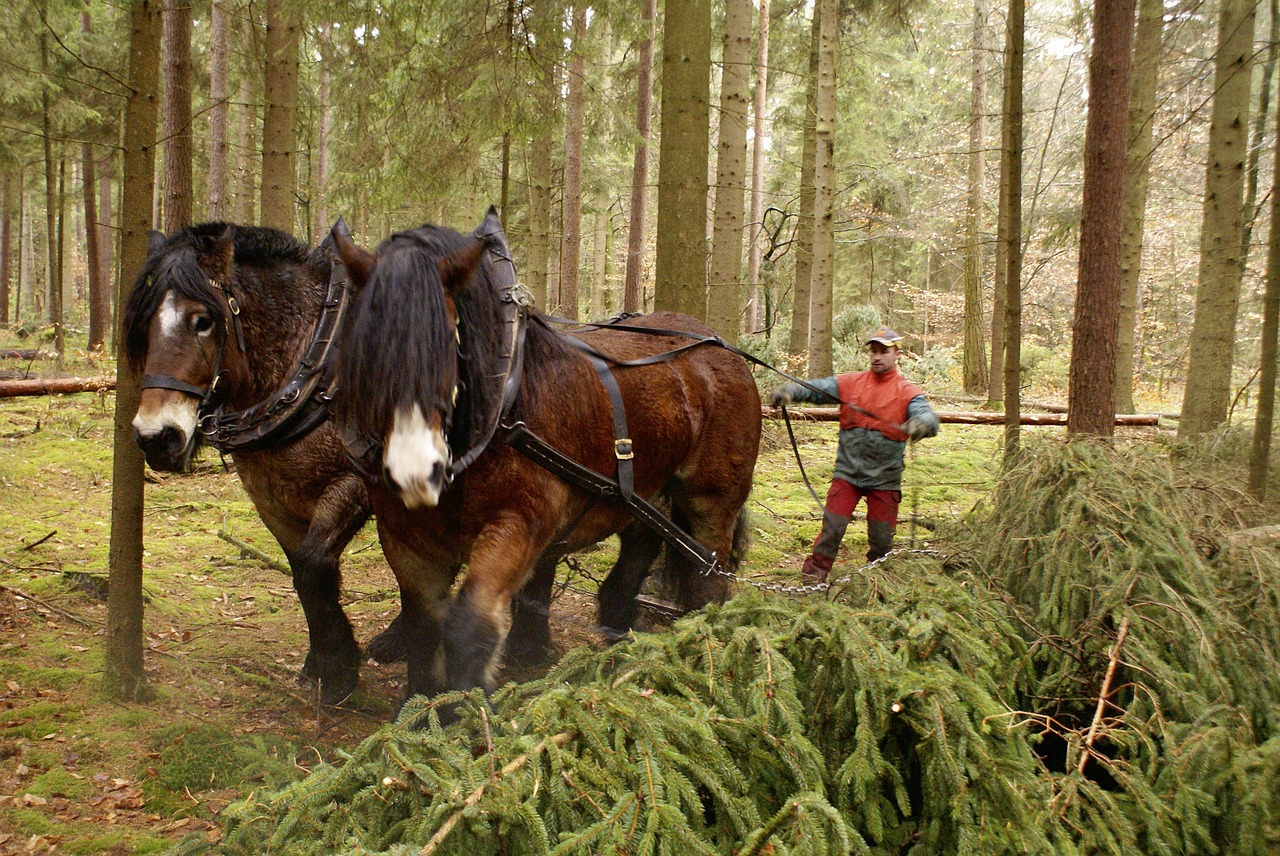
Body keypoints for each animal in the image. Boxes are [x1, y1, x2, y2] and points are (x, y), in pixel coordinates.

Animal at [330, 217, 762, 706]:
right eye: (364, 350)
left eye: (450, 343)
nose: (416, 475)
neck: (500, 407)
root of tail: (719, 345)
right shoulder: (403, 535)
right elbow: (424, 626)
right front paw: (423, 709)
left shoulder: (520, 522)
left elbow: (469, 622)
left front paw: (469, 710)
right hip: (644, 490)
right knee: (641, 544)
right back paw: (620, 634)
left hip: (713, 496)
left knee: (708, 567)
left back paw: (702, 643)